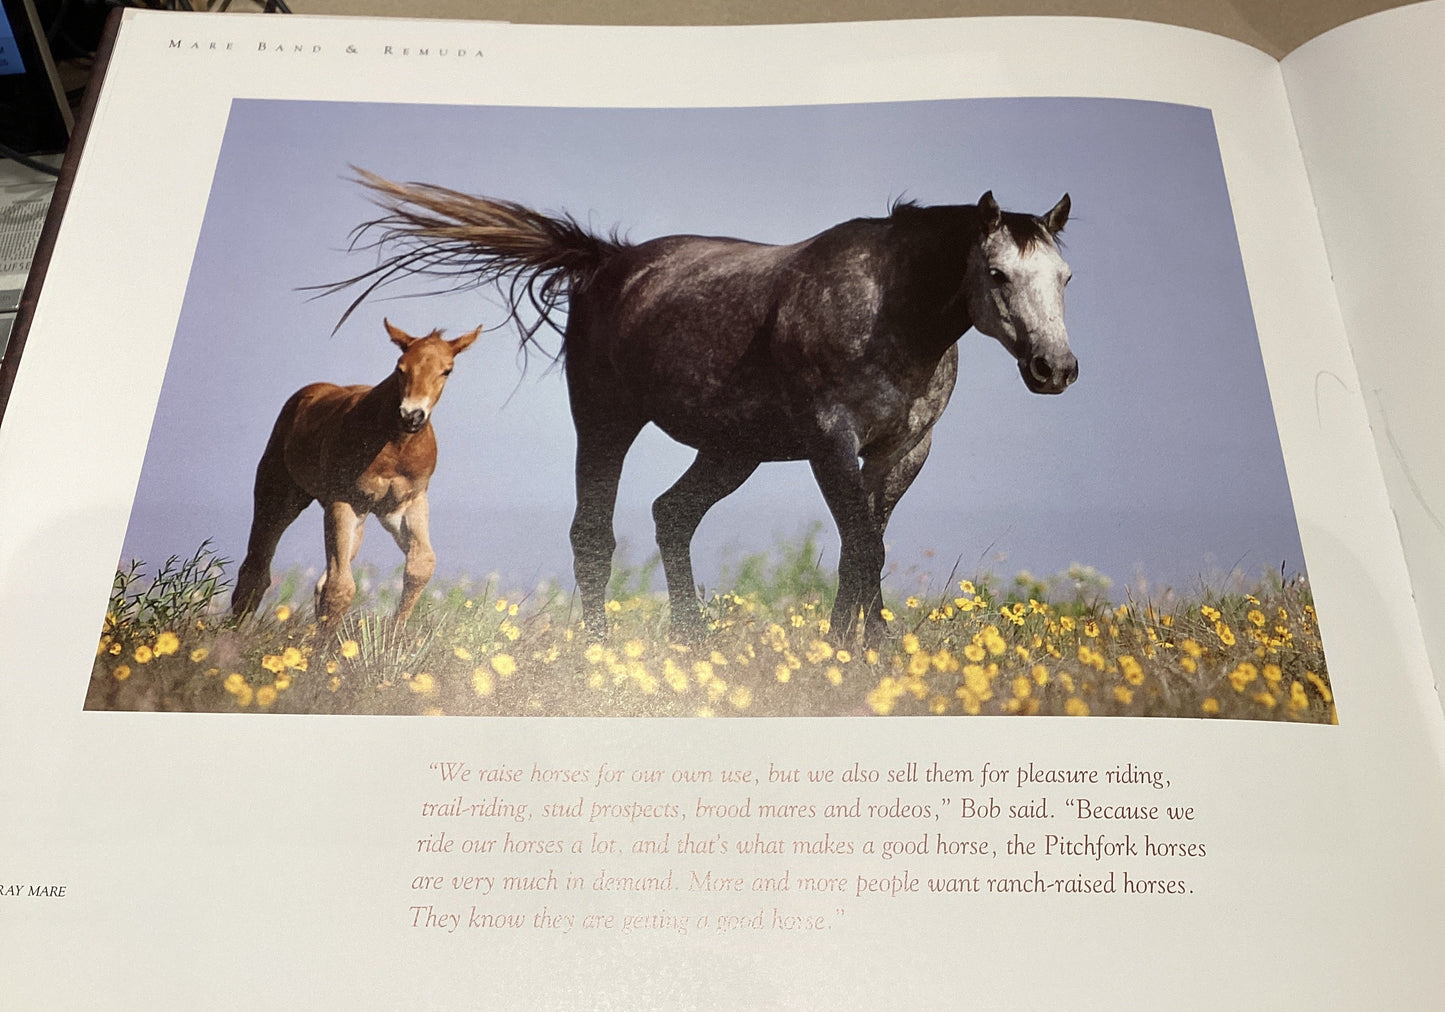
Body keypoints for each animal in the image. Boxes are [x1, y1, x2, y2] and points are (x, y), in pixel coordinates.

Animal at [231, 318, 479, 633]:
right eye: (400, 367)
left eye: (446, 370)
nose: (412, 415)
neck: (394, 445)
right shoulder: (343, 501)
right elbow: (340, 587)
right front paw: (321, 649)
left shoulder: (405, 504)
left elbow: (420, 566)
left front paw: (394, 637)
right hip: (278, 497)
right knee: (256, 568)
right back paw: (232, 633)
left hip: (359, 519)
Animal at [332, 171, 1076, 644]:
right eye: (997, 273)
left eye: (1064, 277)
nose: (1056, 369)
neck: (889, 308)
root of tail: (606, 262)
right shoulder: (832, 443)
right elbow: (864, 548)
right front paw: (869, 652)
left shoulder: (902, 452)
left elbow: (862, 547)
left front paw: (851, 650)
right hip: (605, 422)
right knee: (593, 536)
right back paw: (600, 651)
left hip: (732, 449)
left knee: (672, 517)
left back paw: (693, 641)